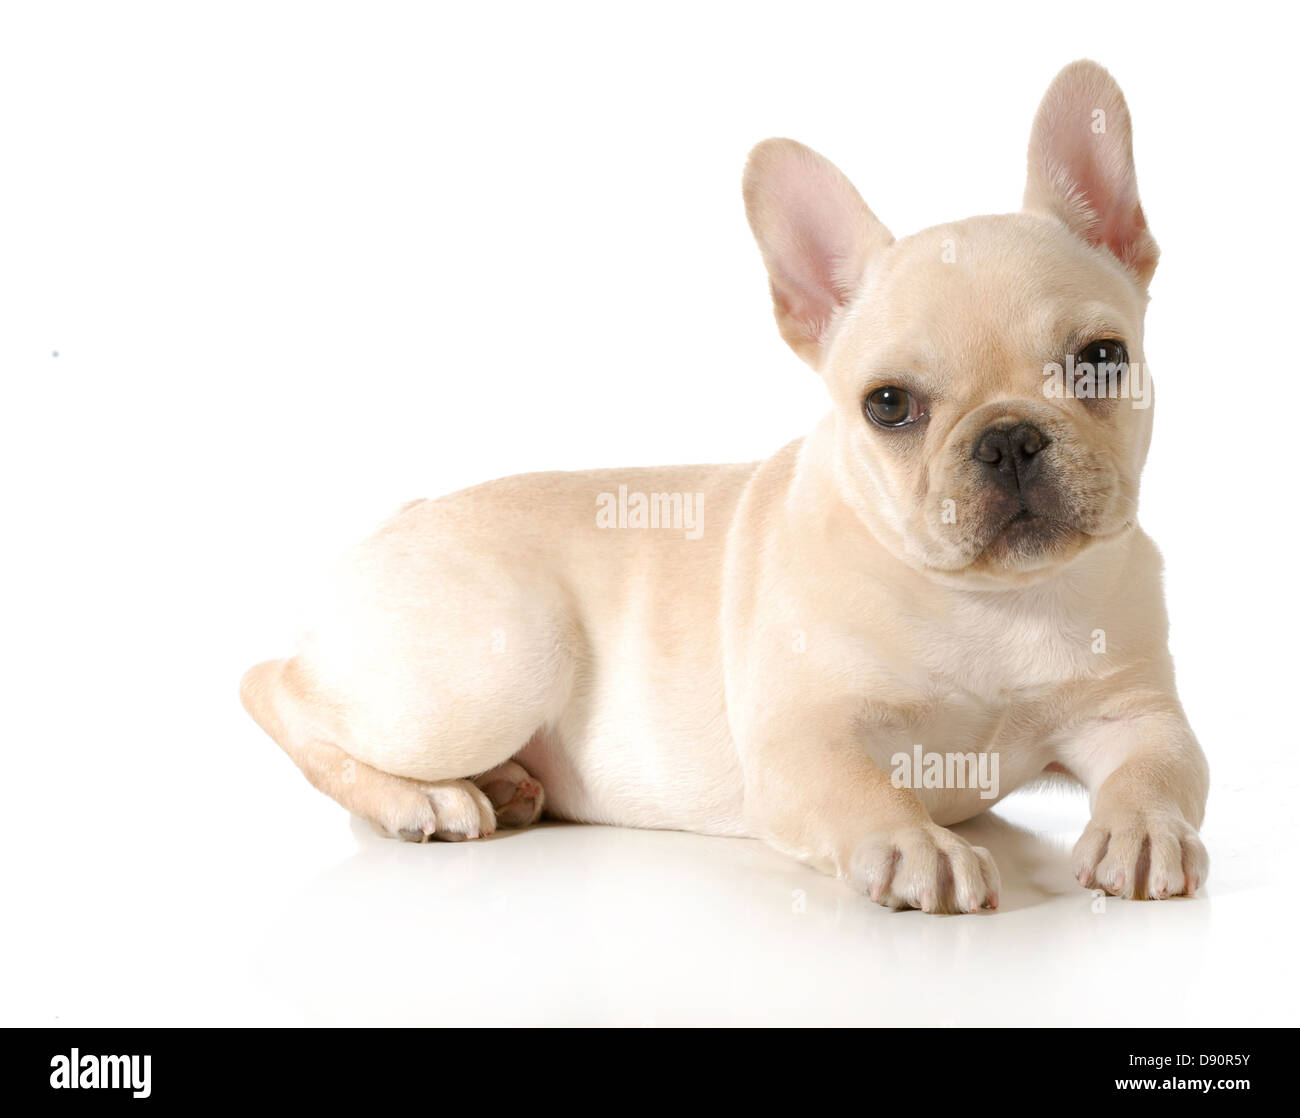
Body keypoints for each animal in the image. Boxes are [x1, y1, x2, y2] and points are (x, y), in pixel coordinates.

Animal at [241, 61, 1206, 915]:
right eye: (889, 405)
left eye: (1101, 359)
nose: (1008, 439)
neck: (991, 603)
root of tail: (388, 526)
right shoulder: (803, 739)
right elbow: (864, 791)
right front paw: (915, 845)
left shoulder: (1136, 711)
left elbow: (1164, 767)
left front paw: (1144, 829)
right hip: (495, 667)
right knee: (276, 689)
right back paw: (422, 799)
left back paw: (507, 785)